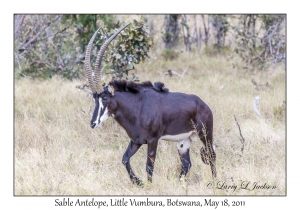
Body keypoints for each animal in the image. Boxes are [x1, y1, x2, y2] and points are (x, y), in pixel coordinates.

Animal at [83, 24, 217, 185]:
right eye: (94, 98)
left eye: (104, 98)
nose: (93, 123)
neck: (137, 107)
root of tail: (204, 105)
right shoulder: (136, 141)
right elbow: (125, 159)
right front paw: (138, 182)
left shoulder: (153, 141)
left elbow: (149, 166)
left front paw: (147, 184)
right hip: (183, 142)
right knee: (187, 164)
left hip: (205, 134)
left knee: (212, 156)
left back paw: (215, 182)